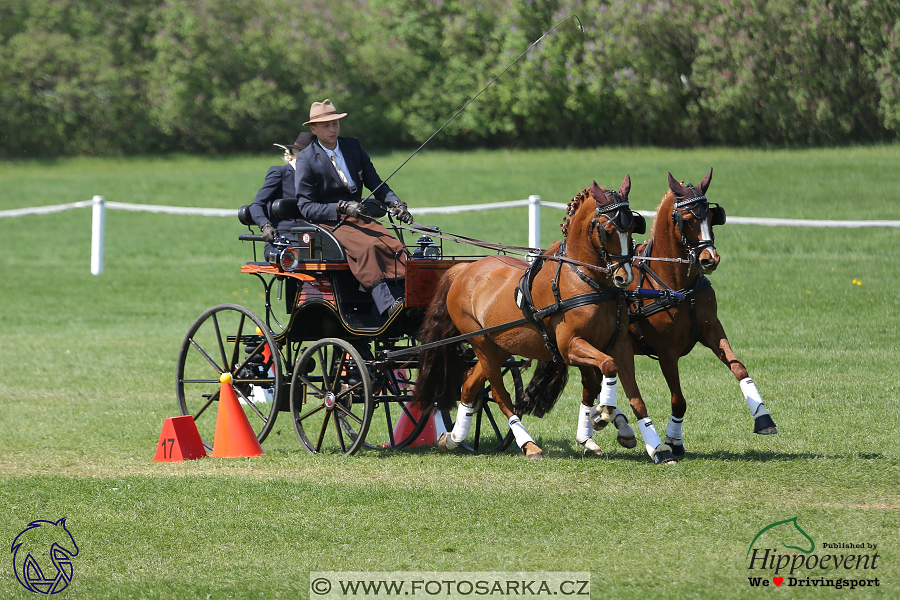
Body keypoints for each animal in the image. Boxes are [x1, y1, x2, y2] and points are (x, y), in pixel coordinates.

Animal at [414, 175, 676, 464]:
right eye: (607, 230)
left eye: (632, 228)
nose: (624, 277)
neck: (587, 280)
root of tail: (463, 269)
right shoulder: (570, 346)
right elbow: (608, 367)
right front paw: (603, 413)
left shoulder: (620, 345)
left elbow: (633, 395)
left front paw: (657, 447)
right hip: (481, 344)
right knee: (499, 395)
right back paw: (528, 445)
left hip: (496, 347)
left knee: (470, 385)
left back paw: (453, 438)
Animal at [624, 166, 776, 458]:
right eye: (685, 219)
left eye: (712, 217)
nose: (710, 259)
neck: (676, 285)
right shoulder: (666, 352)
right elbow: (678, 400)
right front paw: (672, 440)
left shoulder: (712, 330)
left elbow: (739, 367)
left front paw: (763, 417)